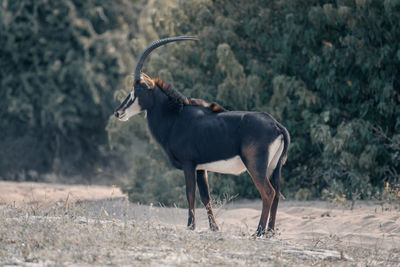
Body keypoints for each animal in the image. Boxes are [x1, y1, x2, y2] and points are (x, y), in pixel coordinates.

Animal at [114, 36, 290, 238]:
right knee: (276, 193)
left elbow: (190, 194)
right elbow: (206, 197)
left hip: (255, 165)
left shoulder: (188, 164)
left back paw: (259, 232)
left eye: (137, 92)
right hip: (273, 167)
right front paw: (214, 228)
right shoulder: (201, 168)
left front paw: (190, 226)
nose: (118, 112)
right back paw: (270, 232)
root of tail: (276, 125)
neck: (175, 117)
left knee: (268, 192)